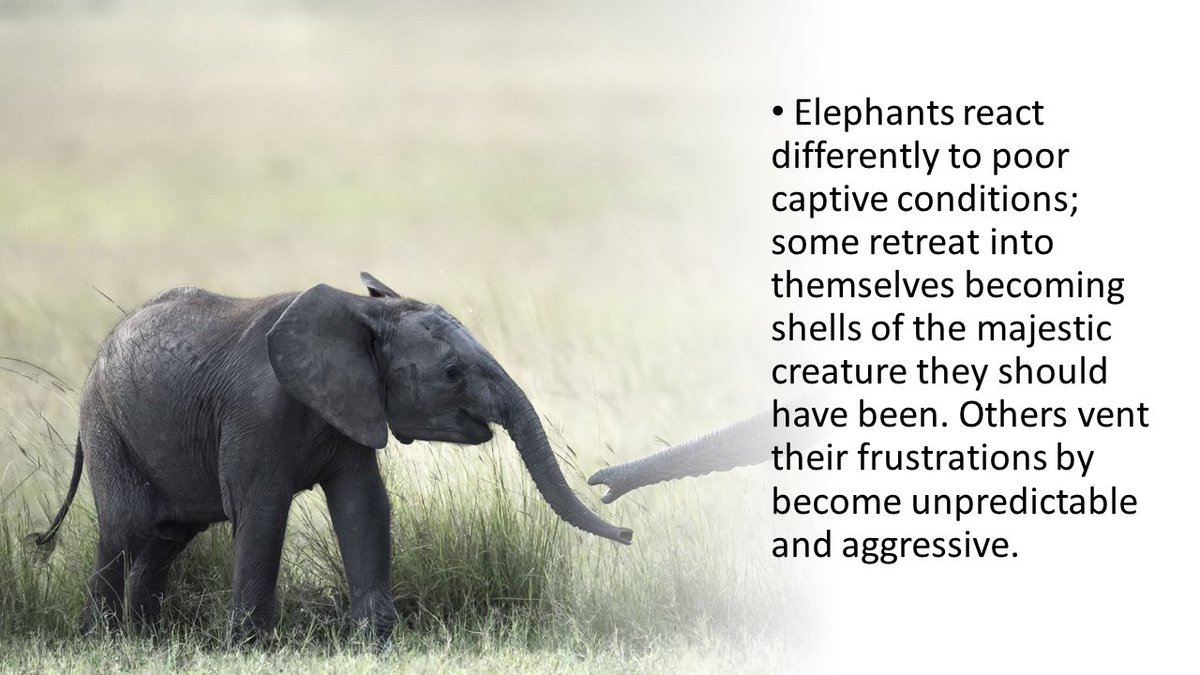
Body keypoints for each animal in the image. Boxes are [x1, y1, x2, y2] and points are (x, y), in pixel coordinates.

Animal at [34, 272, 631, 644]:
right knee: (125, 527)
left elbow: (363, 506)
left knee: (165, 539)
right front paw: (250, 648)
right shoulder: (257, 414)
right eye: (451, 373)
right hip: (106, 423)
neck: (363, 311)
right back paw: (104, 640)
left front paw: (377, 643)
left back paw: (148, 640)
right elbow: (262, 513)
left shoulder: (352, 405)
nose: (623, 526)